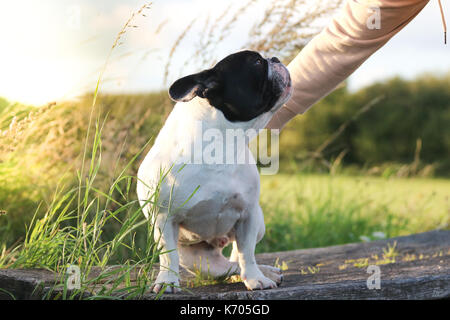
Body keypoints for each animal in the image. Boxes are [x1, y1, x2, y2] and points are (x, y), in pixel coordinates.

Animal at [137, 50, 292, 292]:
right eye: (257, 62)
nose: (275, 59)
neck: (224, 144)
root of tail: (218, 243)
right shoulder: (164, 218)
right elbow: (168, 256)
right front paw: (167, 282)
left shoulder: (248, 215)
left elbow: (247, 253)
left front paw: (255, 278)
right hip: (199, 260)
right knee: (225, 267)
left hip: (259, 223)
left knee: (237, 257)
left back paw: (265, 272)